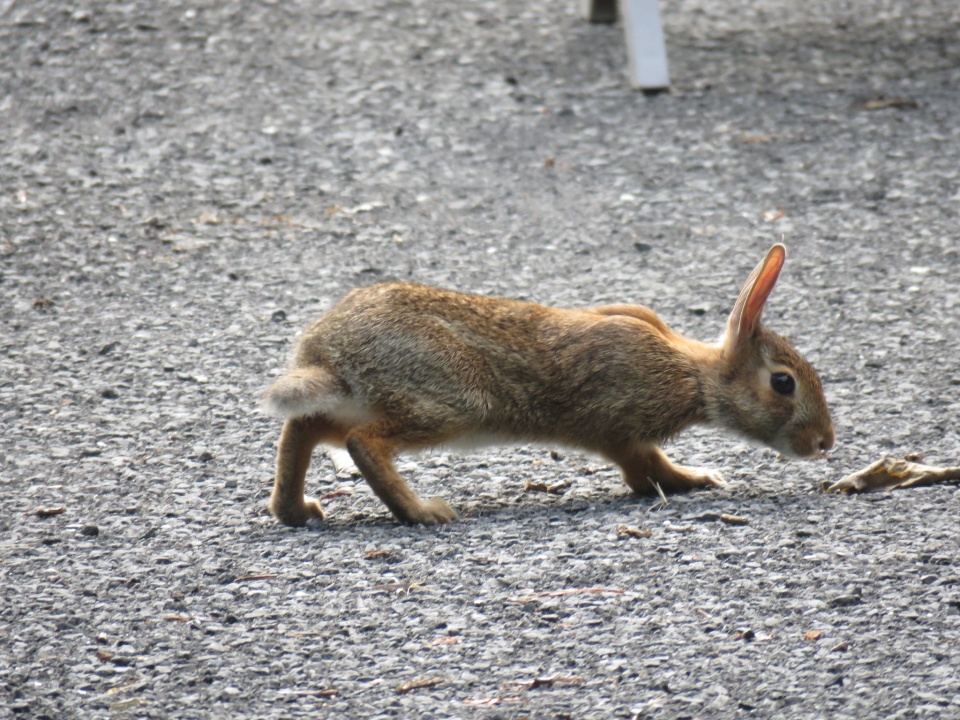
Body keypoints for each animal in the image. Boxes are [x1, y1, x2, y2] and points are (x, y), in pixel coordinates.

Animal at [263, 243, 834, 527]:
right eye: (783, 384)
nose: (825, 444)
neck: (694, 375)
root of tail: (328, 355)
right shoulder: (624, 430)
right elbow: (646, 471)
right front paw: (699, 479)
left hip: (357, 404)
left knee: (302, 430)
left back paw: (296, 512)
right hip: (451, 401)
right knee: (363, 443)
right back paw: (425, 512)